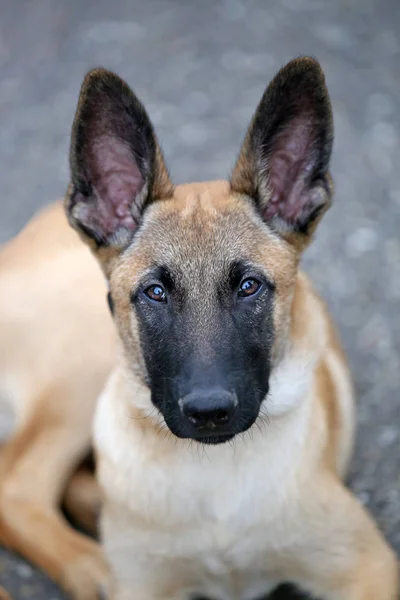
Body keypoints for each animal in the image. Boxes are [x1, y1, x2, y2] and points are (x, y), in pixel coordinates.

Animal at [0, 57, 398, 600]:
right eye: (155, 292)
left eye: (249, 287)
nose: (209, 413)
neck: (213, 484)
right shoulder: (142, 587)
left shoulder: (367, 565)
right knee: (18, 484)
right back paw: (91, 564)